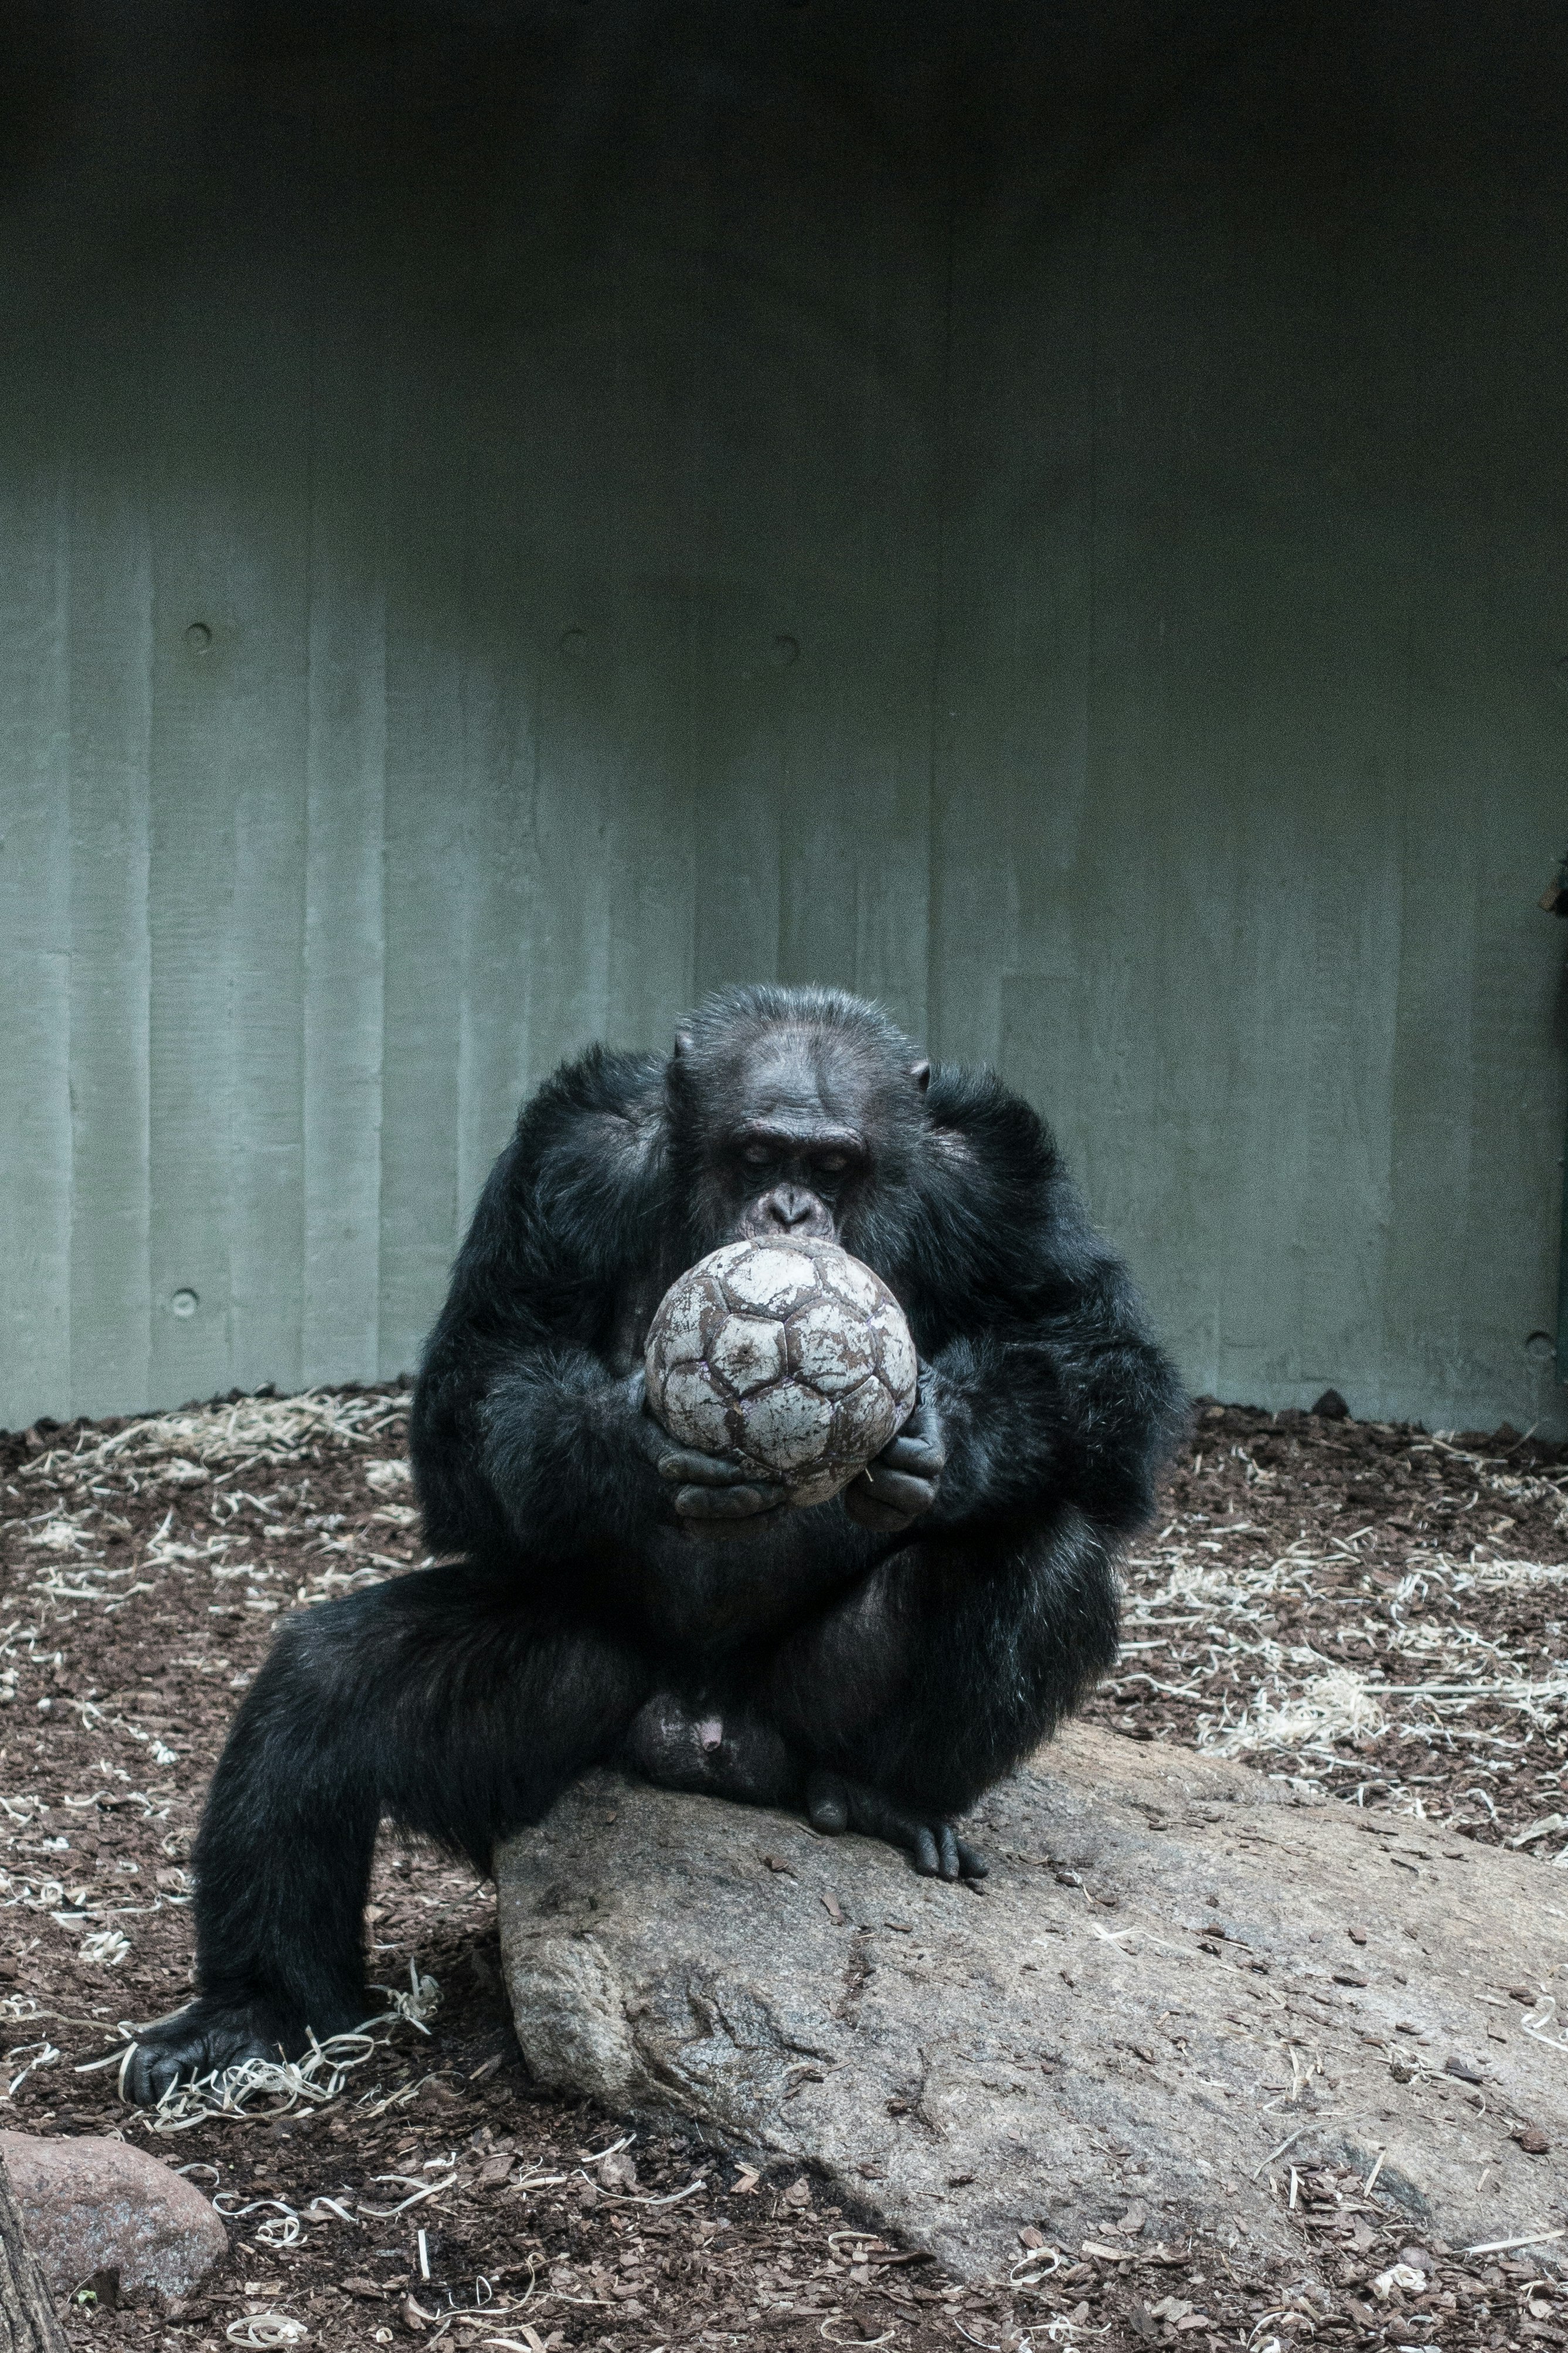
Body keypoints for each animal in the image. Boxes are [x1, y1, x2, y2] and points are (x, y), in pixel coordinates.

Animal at [125, 974, 1175, 2099]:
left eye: (833, 1165)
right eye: (757, 1154)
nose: (791, 1212)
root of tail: (700, 1733)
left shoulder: (1005, 1183)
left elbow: (1099, 1351)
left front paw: (947, 1434)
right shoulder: (561, 1160)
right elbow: (479, 1374)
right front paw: (627, 1444)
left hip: (799, 1711)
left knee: (1038, 1557)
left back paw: (882, 1795)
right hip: (575, 1700)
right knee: (320, 1698)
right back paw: (252, 2013)